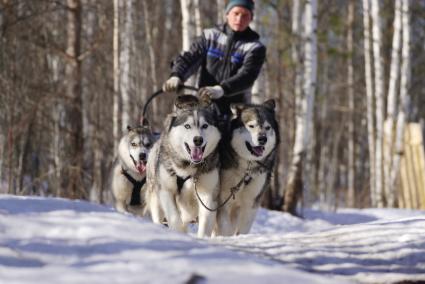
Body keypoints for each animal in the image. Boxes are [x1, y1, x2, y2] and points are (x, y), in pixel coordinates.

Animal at [144, 95, 220, 237]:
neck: (189, 168)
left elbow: (205, 222)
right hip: (155, 198)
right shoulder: (166, 190)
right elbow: (174, 218)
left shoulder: (208, 194)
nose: (198, 139)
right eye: (187, 126)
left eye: (205, 125)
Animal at [215, 100, 278, 235]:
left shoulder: (251, 206)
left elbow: (242, 230)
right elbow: (224, 228)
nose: (262, 138)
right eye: (251, 126)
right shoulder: (224, 203)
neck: (247, 169)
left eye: (267, 127)